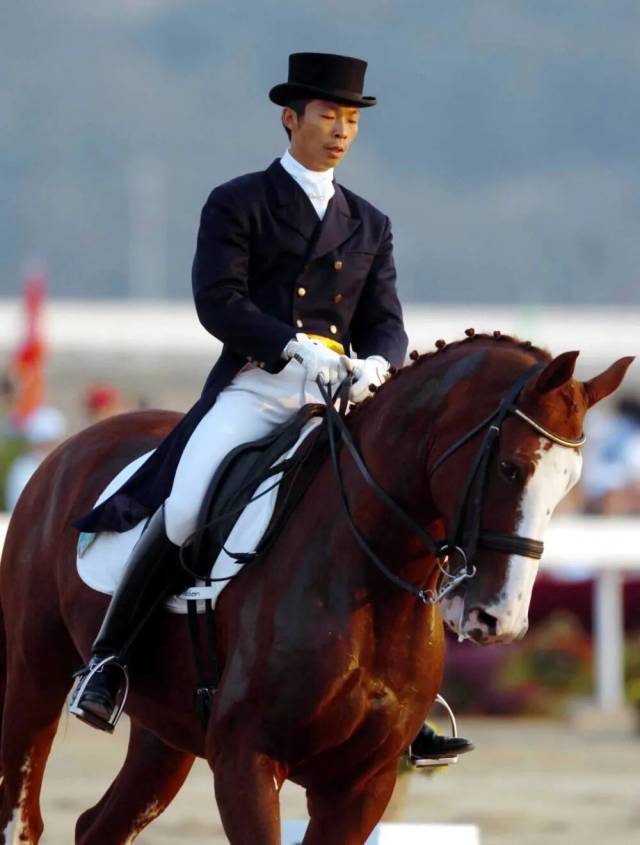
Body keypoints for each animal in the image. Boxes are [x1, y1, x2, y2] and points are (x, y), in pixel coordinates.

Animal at [0, 332, 632, 844]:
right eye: (510, 468)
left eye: (569, 483)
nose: (500, 619)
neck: (367, 580)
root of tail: (68, 451)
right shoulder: (247, 762)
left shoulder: (362, 783)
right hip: (35, 674)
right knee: (23, 817)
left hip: (165, 731)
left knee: (98, 825)